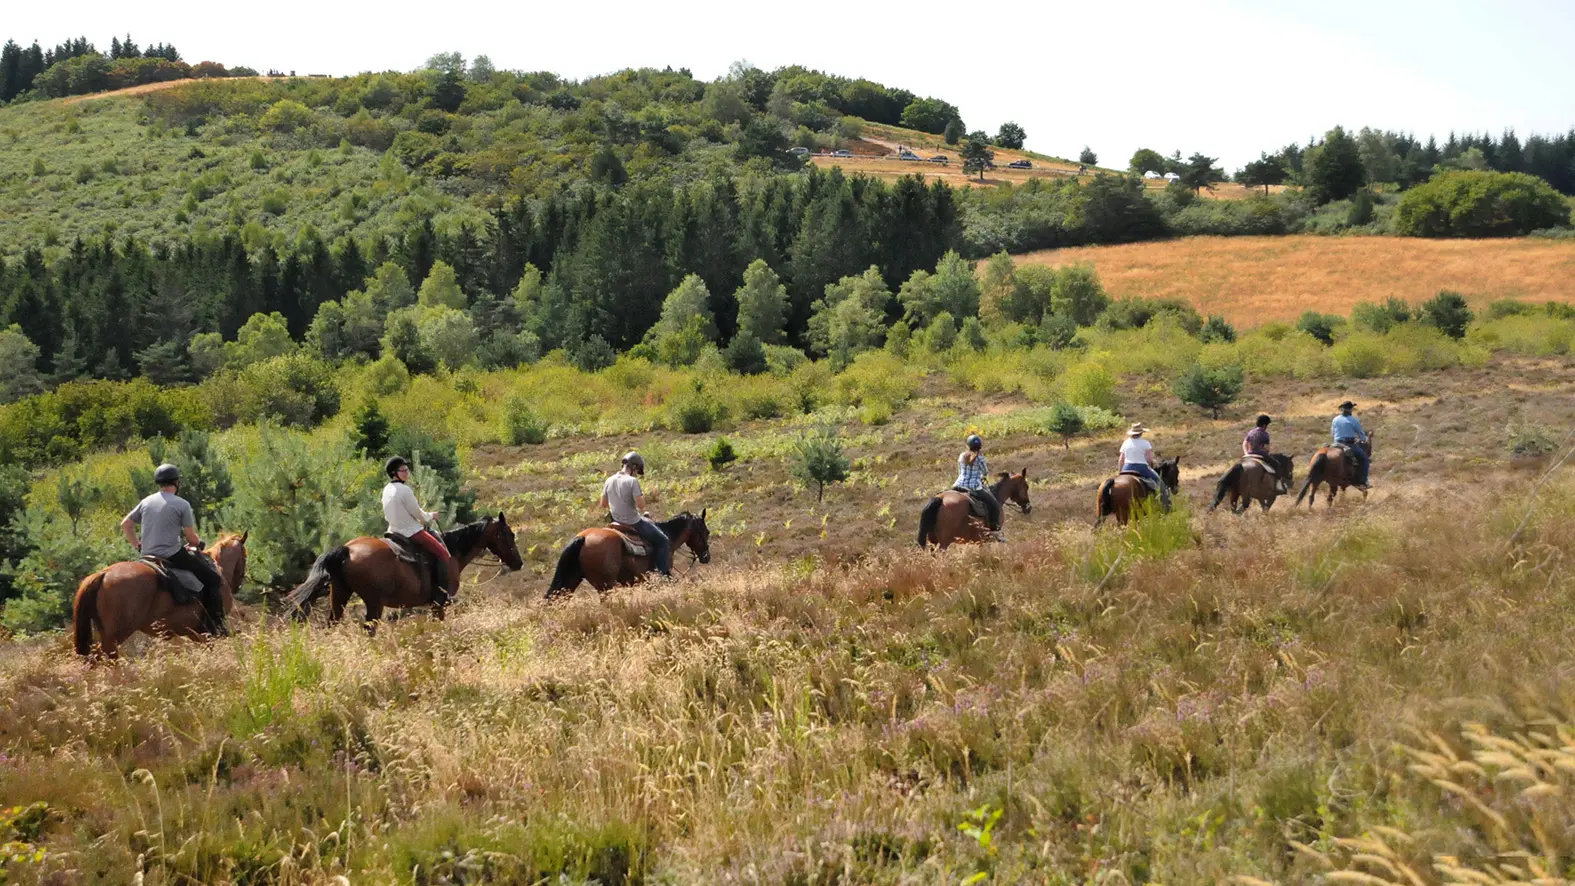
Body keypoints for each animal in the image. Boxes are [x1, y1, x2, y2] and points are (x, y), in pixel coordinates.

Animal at [74, 535, 248, 657]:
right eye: (245, 556)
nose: (238, 586)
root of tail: (103, 574)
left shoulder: (195, 633)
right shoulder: (207, 633)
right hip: (115, 636)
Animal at [286, 513, 526, 629]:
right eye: (510, 534)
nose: (519, 563)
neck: (452, 550)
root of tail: (347, 549)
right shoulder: (439, 604)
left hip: (339, 595)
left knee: (332, 624)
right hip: (374, 604)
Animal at [544, 509, 711, 601]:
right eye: (706, 532)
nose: (706, 557)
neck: (667, 535)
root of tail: (584, 538)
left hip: (571, 582)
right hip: (605, 586)